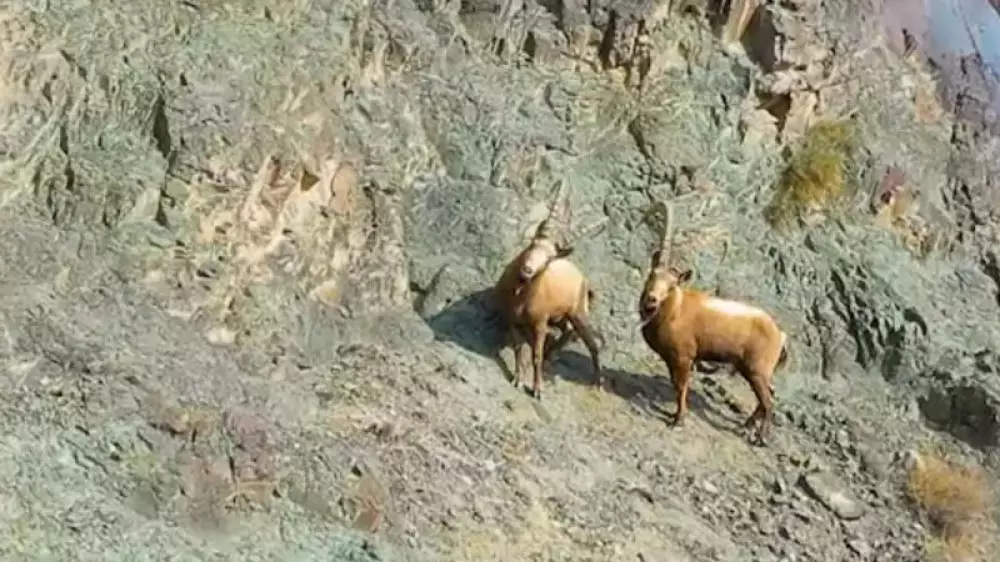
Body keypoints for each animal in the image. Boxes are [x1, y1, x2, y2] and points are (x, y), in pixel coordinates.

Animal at [493, 181, 608, 401]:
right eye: (533, 243)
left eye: (548, 259)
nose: (527, 270)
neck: (521, 298)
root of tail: (582, 277)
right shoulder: (512, 319)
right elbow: (518, 348)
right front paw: (518, 379)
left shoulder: (539, 323)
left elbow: (535, 355)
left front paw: (538, 389)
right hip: (559, 316)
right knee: (567, 330)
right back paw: (552, 353)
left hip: (577, 313)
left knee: (591, 344)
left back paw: (597, 383)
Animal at [637, 201, 790, 445]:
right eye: (652, 274)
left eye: (671, 285)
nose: (651, 299)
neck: (674, 310)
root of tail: (780, 335)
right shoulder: (672, 358)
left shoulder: (684, 356)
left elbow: (681, 386)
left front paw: (678, 420)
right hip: (753, 370)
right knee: (769, 394)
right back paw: (747, 425)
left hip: (757, 369)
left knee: (768, 400)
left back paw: (761, 438)